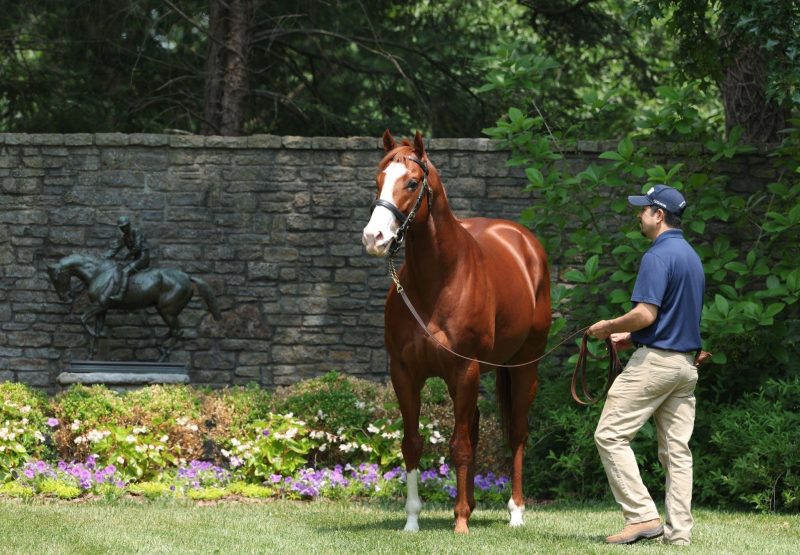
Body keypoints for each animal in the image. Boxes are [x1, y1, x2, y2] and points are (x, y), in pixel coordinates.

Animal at [362, 131, 552, 536]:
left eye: (412, 183)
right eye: (377, 180)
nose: (374, 237)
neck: (438, 282)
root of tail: (524, 242)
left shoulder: (464, 370)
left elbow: (459, 445)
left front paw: (461, 521)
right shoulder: (405, 373)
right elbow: (413, 443)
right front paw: (413, 519)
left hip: (523, 367)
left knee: (516, 433)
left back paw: (515, 512)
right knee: (476, 427)